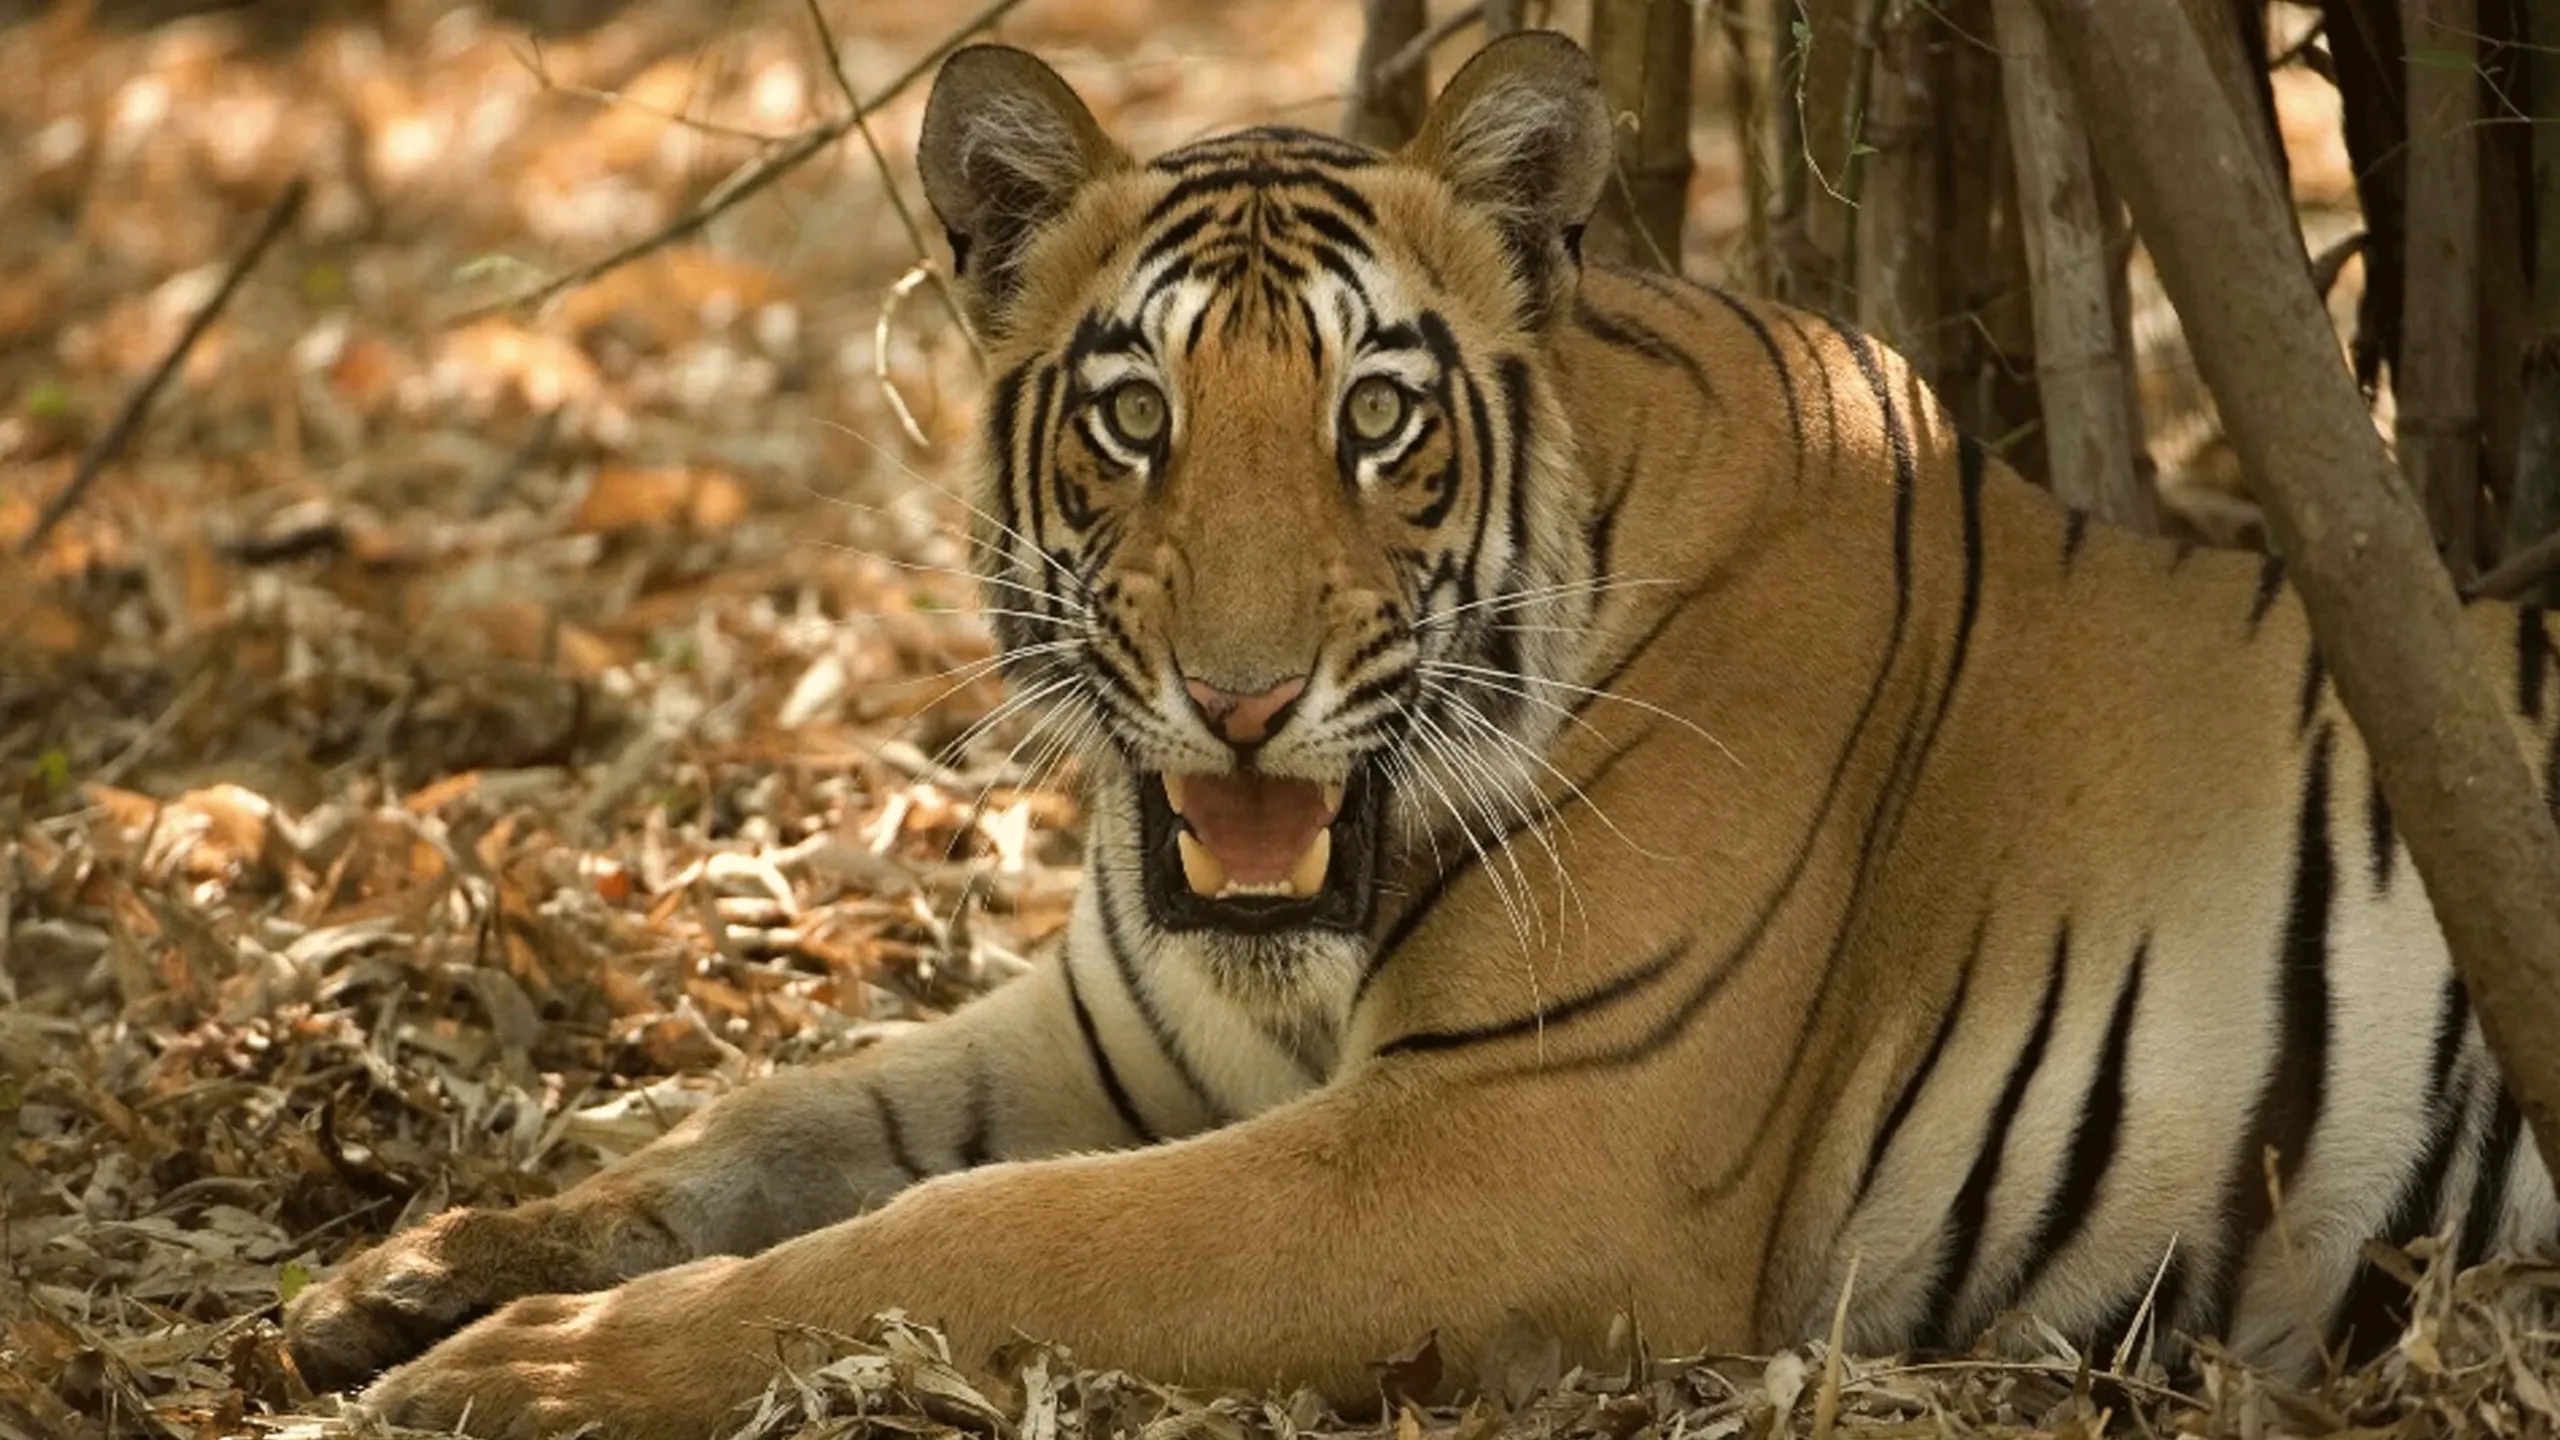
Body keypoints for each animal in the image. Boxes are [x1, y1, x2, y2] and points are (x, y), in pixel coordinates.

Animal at [283, 32, 2560, 1440]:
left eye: (1377, 416)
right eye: (1136, 417)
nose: (1241, 696)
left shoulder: (1515, 1149)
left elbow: (982, 1232)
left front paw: (530, 1370)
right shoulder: (1100, 1038)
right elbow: (761, 1126)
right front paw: (421, 1272)